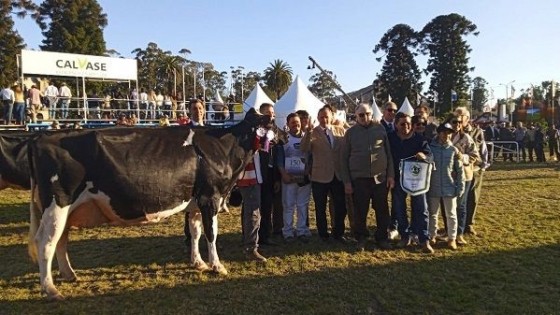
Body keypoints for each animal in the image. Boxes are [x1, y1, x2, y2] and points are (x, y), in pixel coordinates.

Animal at [27, 110, 272, 302]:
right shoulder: (209, 198)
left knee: (61, 239)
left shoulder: (194, 203)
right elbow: (211, 234)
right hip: (56, 205)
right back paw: (50, 290)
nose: (279, 137)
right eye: (271, 125)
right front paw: (217, 266)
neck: (222, 147)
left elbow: (195, 233)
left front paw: (198, 263)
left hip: (64, 212)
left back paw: (69, 274)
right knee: (45, 243)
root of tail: (41, 137)